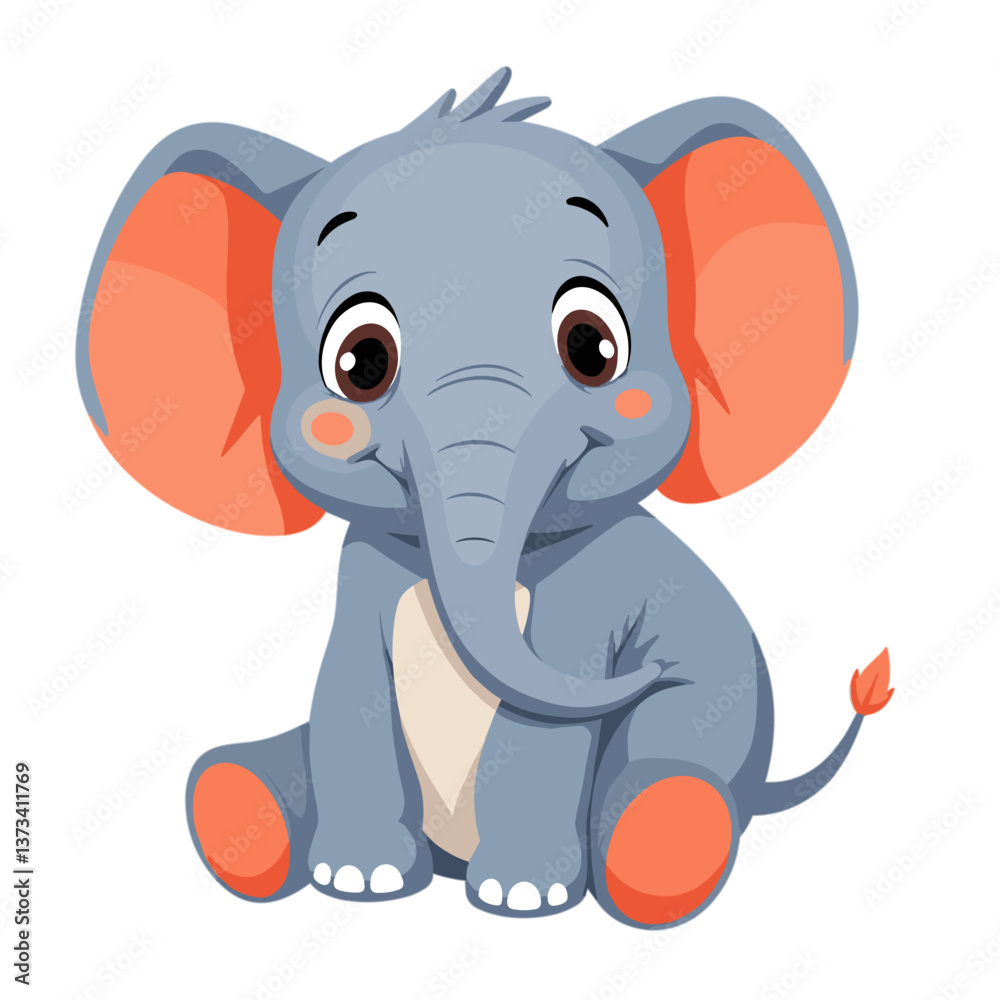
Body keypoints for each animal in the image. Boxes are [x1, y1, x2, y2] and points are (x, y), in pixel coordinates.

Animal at [75, 67, 892, 928]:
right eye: (361, 361)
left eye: (592, 347)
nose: (645, 664)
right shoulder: (364, 575)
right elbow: (347, 695)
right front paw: (358, 880)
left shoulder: (591, 595)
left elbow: (543, 724)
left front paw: (521, 896)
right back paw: (235, 808)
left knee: (672, 755)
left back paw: (659, 852)